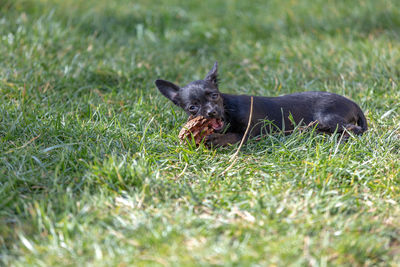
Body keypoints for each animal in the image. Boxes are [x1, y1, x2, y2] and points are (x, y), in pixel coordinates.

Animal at [155, 62, 368, 148]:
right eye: (192, 107)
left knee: (354, 130)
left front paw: (216, 139)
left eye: (214, 96)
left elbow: (233, 136)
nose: (212, 112)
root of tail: (354, 104)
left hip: (327, 117)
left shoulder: (251, 133)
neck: (228, 111)